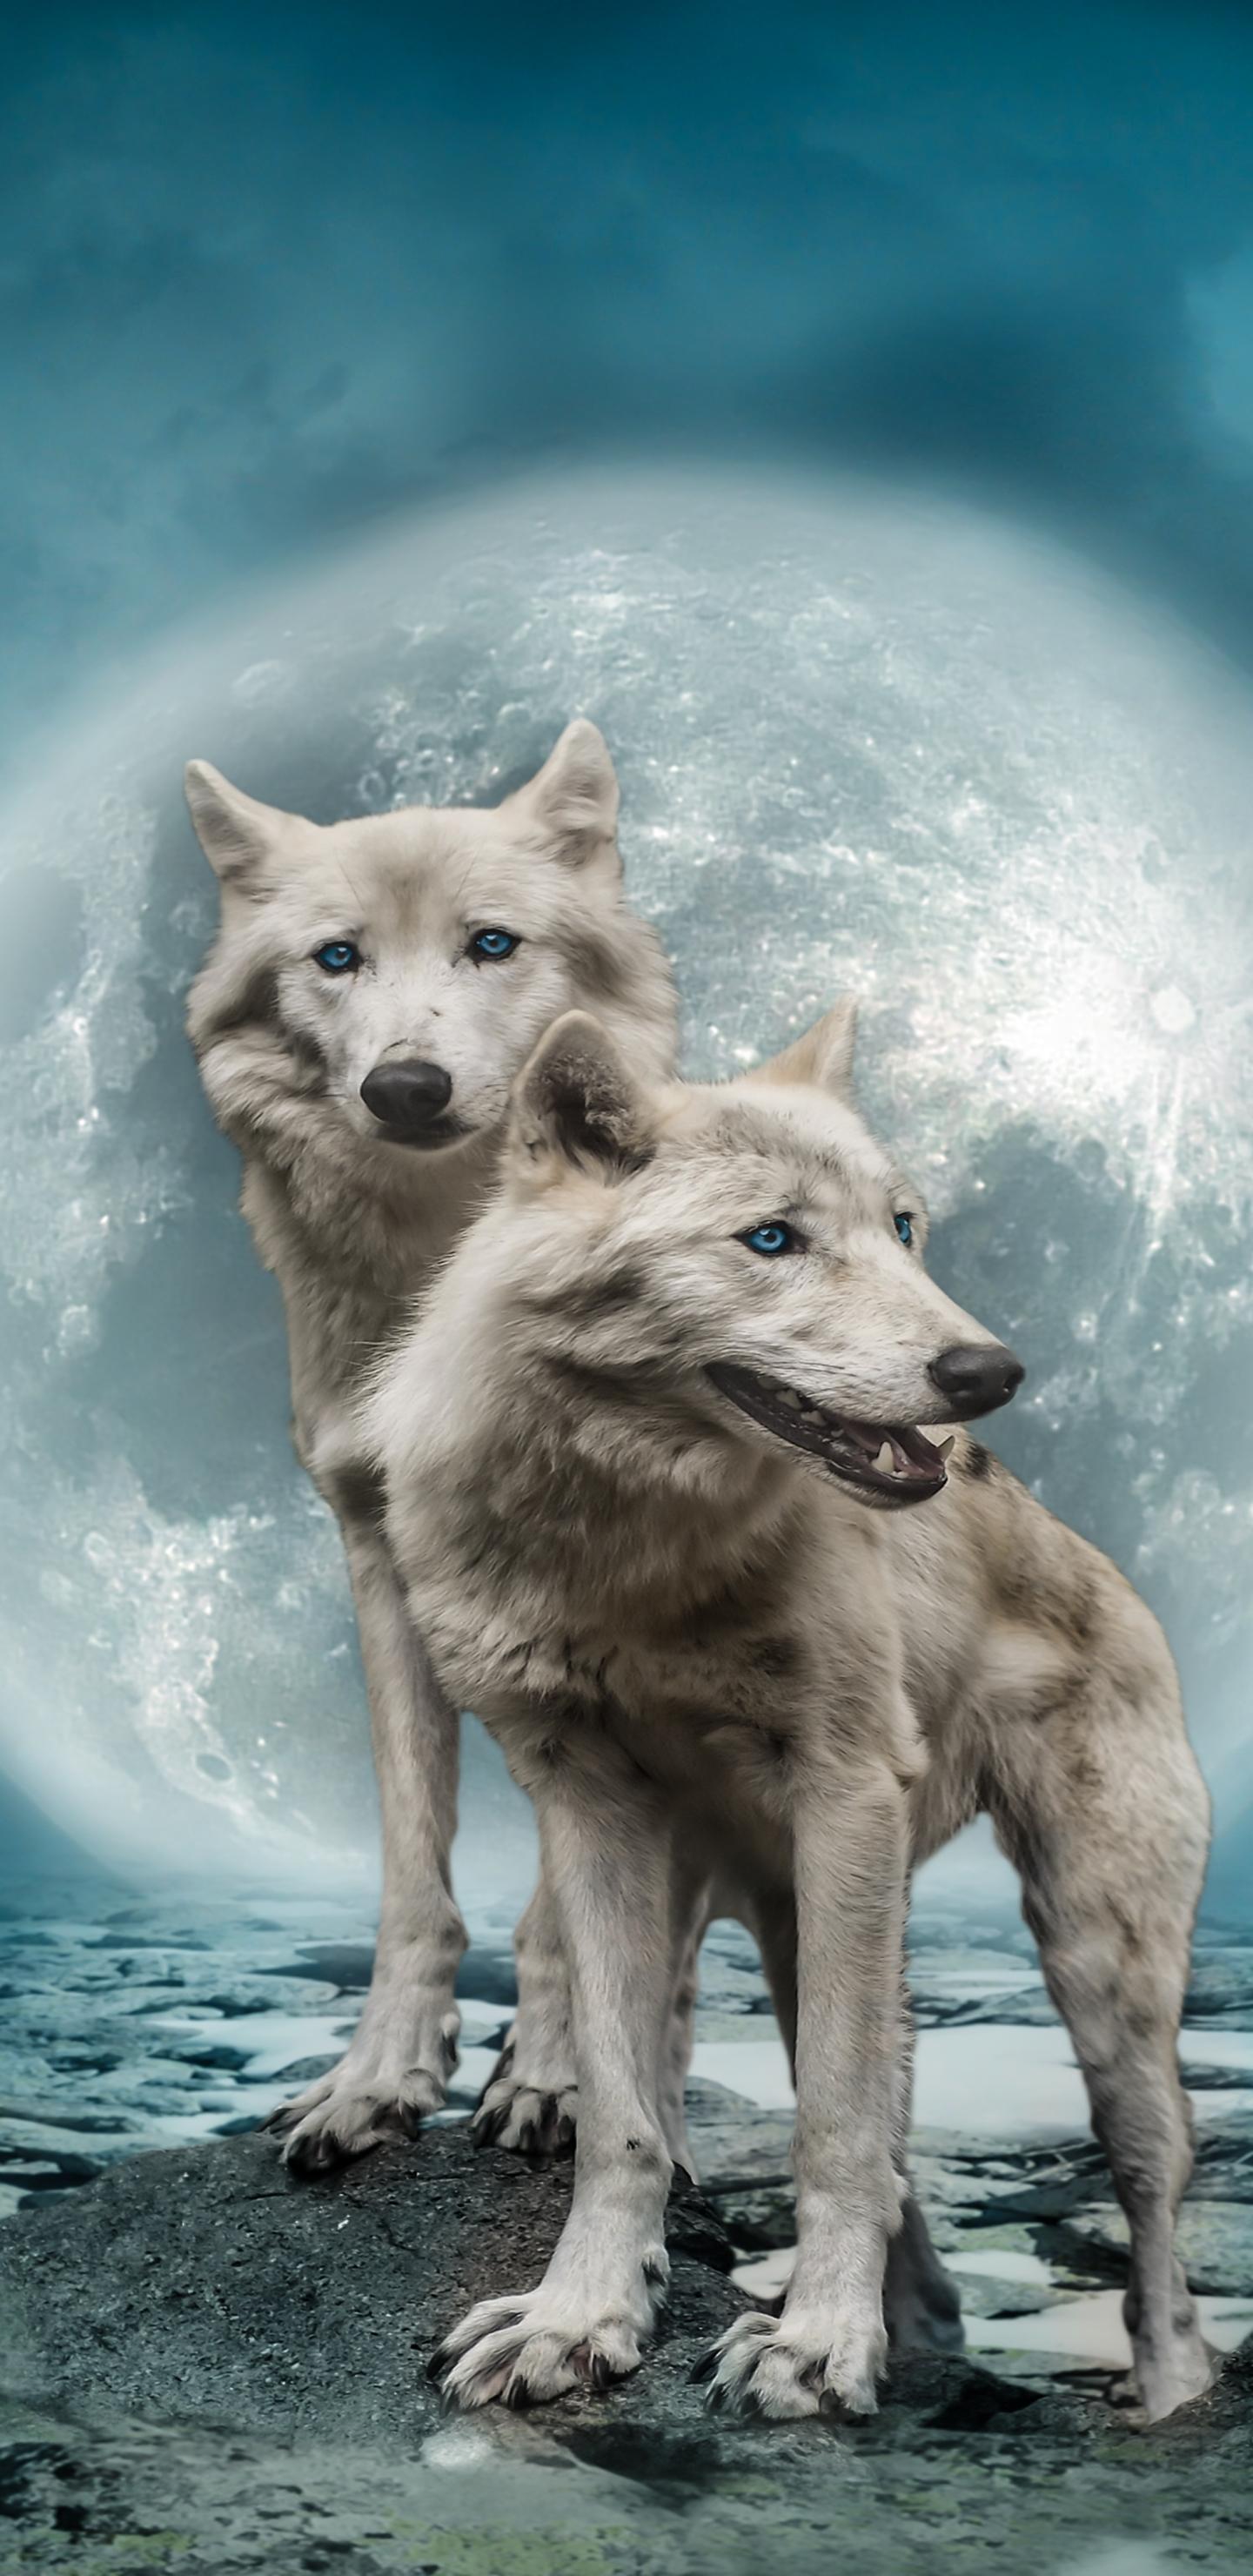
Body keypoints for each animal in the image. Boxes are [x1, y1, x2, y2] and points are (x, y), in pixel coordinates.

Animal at [185, 722, 677, 2170]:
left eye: (492, 945)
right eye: (338, 957)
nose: (405, 1085)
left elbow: (572, 1901)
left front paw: (558, 2076)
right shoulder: (378, 1558)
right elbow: (414, 1872)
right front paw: (376, 2081)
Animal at [370, 1001, 1213, 2425]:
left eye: (904, 1227)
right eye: (773, 1239)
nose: (988, 1371)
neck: (633, 1556)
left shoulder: (845, 1789)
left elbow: (832, 2121)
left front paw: (817, 2347)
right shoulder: (585, 1804)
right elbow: (621, 2109)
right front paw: (580, 2319)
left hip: (1095, 1967)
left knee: (1151, 2203)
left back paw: (1159, 2396)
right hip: (786, 1923)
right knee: (900, 2166)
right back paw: (914, 2327)